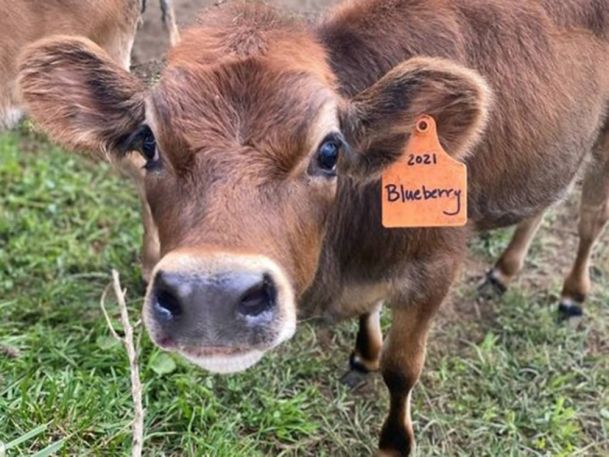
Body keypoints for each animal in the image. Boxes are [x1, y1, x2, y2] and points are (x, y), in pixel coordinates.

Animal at [15, 0, 608, 456]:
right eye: (147, 142)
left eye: (329, 150)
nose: (211, 297)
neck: (346, 256)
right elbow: (372, 317)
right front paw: (363, 351)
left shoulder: (437, 268)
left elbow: (402, 369)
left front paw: (393, 436)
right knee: (542, 205)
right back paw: (504, 271)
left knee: (588, 217)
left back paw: (573, 295)